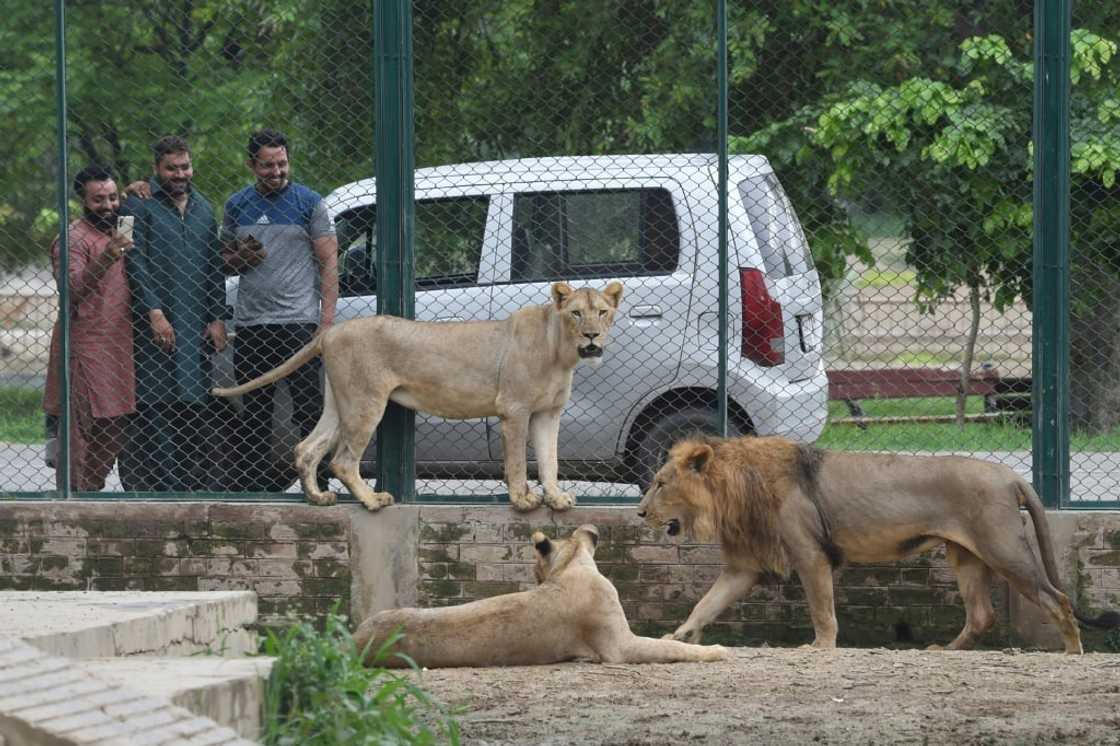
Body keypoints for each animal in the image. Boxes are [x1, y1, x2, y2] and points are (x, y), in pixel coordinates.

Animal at [211, 280, 622, 510]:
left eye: (602, 312)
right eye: (575, 314)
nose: (591, 336)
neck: (561, 352)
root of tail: (330, 332)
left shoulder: (548, 413)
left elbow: (550, 460)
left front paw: (557, 498)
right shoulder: (514, 410)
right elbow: (519, 462)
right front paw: (523, 501)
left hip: (340, 403)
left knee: (307, 449)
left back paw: (318, 499)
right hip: (366, 402)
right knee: (342, 461)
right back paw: (373, 501)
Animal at [353, 526, 730, 663]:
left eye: (535, 570)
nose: (534, 578)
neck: (571, 565)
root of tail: (353, 641)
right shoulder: (619, 647)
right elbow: (673, 647)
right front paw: (716, 650)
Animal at [640, 432, 1120, 654]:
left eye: (661, 483)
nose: (641, 512)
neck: (733, 492)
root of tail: (1011, 474)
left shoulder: (810, 555)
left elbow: (822, 610)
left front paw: (820, 648)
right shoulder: (744, 567)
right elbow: (706, 603)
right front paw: (679, 637)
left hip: (1004, 549)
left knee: (1056, 598)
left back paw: (1072, 651)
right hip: (966, 555)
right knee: (982, 614)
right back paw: (945, 651)